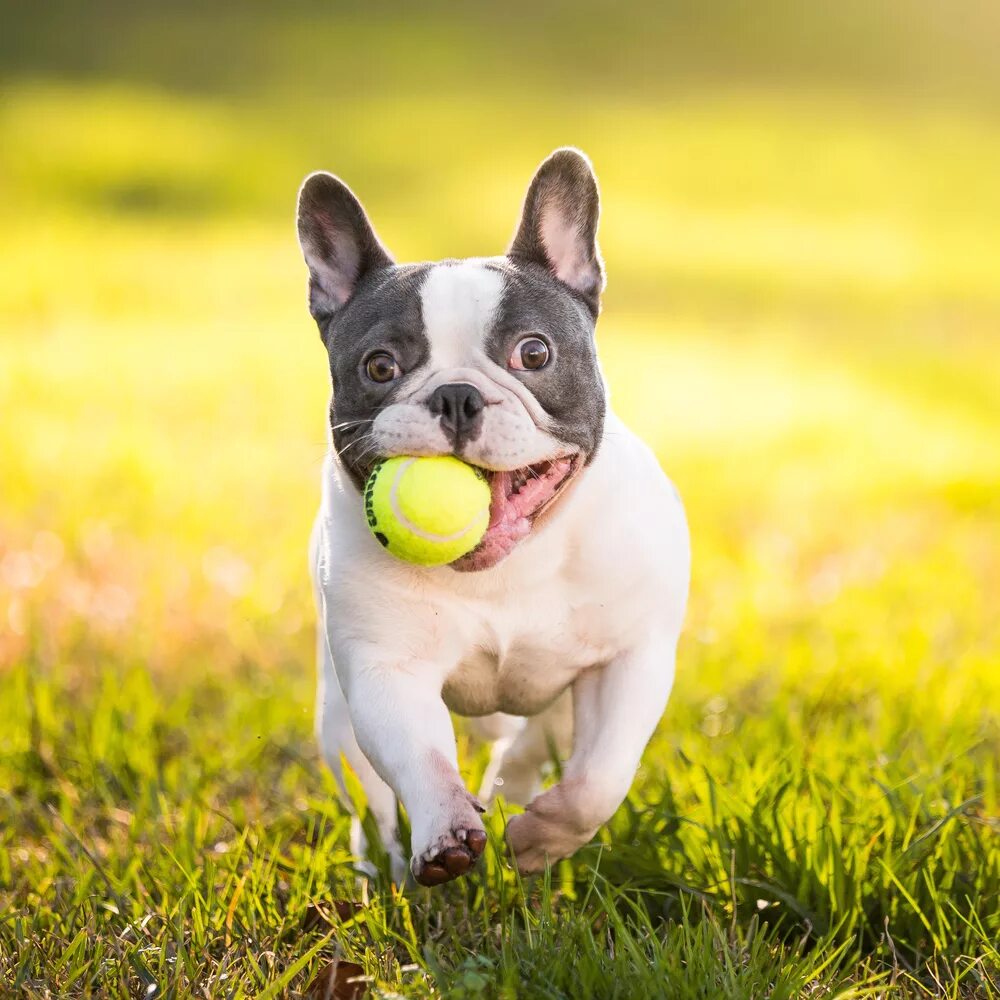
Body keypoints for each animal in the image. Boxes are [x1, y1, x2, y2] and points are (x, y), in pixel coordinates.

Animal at [294, 146, 688, 884]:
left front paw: (540, 840)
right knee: (369, 795)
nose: (455, 395)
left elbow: (599, 779)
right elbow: (420, 757)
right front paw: (445, 833)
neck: (509, 566)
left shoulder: (629, 659)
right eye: (380, 367)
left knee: (535, 746)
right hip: (335, 715)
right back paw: (383, 862)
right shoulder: (387, 671)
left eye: (534, 353)